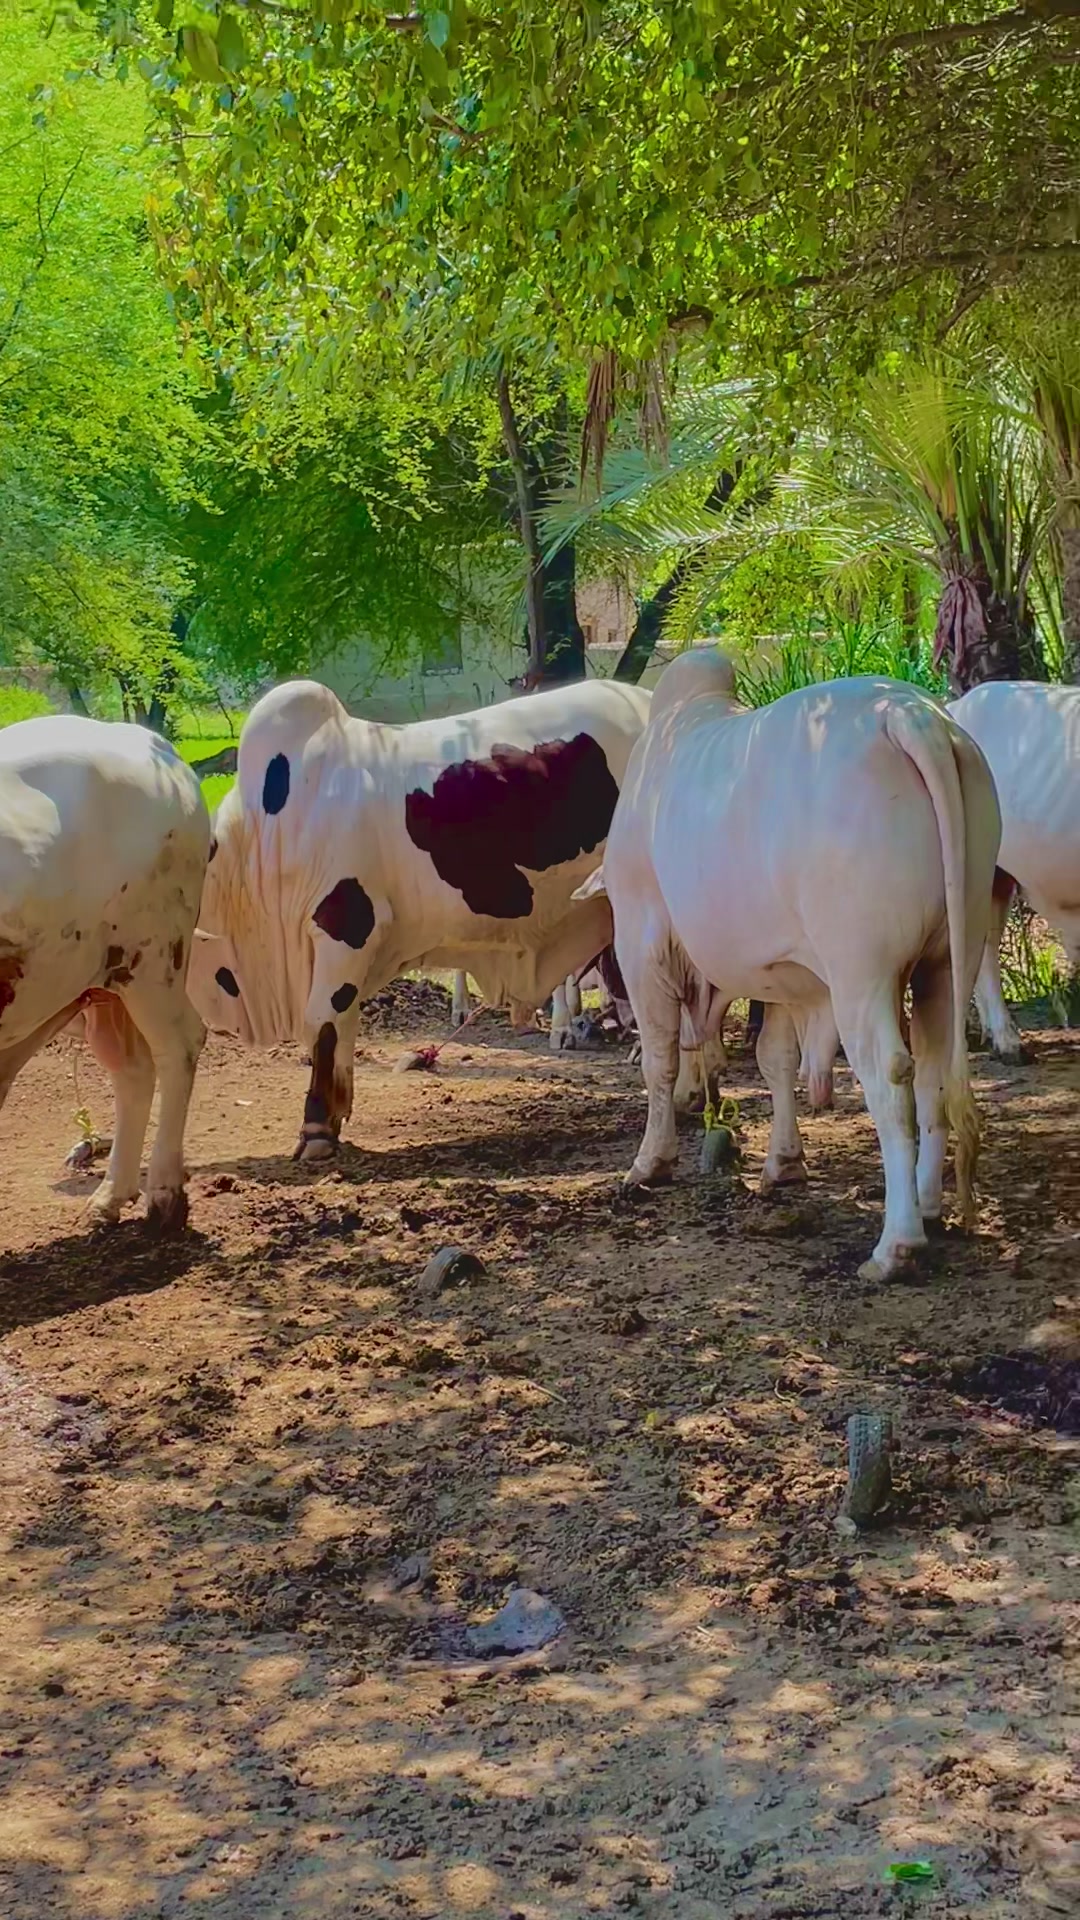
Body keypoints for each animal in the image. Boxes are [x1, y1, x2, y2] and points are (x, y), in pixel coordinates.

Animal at [0, 716, 209, 1229]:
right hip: (95, 980)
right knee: (132, 1068)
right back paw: (111, 1196)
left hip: (153, 955)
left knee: (179, 1044)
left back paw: (164, 1194)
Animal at [578, 649, 1000, 1280]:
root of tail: (909, 713)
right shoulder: (782, 976)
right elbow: (774, 1059)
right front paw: (783, 1163)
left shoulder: (642, 943)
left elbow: (660, 1062)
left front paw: (651, 1162)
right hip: (950, 956)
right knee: (932, 1074)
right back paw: (928, 1207)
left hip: (861, 970)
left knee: (890, 1077)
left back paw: (895, 1245)